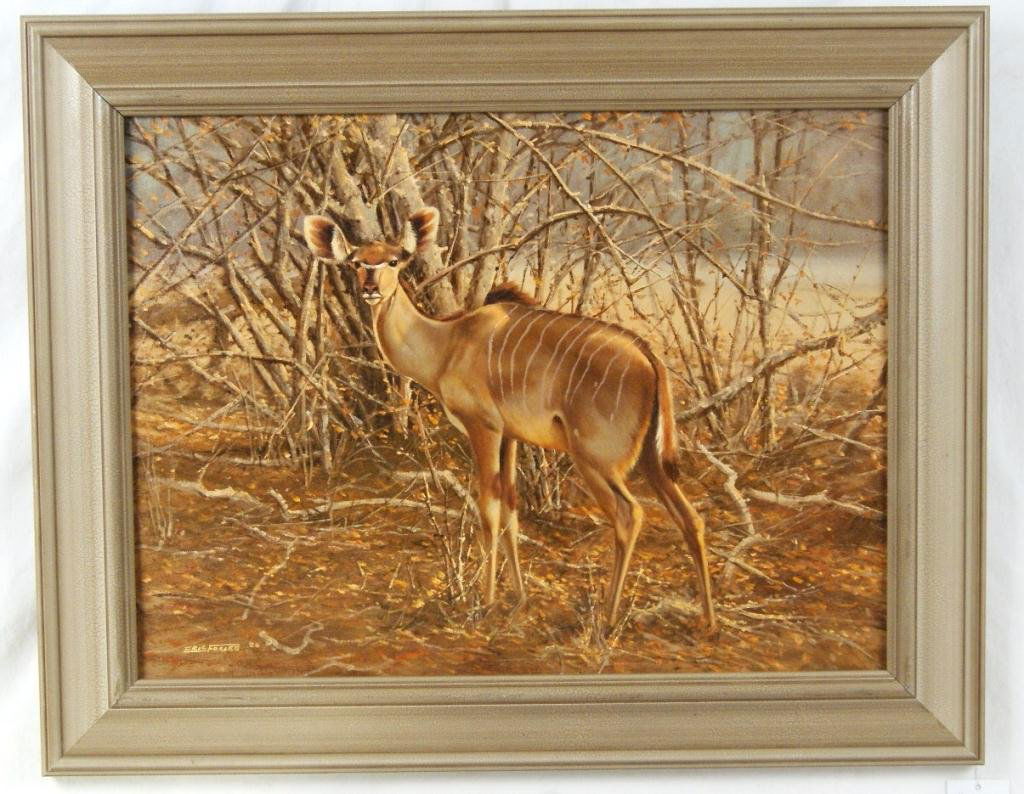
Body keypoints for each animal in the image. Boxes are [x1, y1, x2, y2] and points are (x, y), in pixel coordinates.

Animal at [302, 207, 716, 631]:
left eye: (394, 260)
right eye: (356, 261)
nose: (370, 285)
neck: (446, 344)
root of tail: (649, 356)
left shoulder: (483, 427)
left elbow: (487, 510)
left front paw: (483, 603)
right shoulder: (511, 437)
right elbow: (511, 512)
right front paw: (518, 600)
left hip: (595, 459)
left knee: (629, 514)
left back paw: (607, 617)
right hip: (650, 461)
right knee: (692, 518)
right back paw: (708, 622)